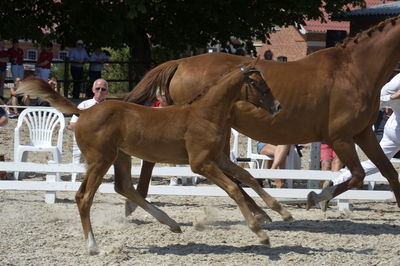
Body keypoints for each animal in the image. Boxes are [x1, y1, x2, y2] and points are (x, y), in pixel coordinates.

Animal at [126, 15, 400, 211]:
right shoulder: (340, 137)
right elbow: (357, 175)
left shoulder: (363, 133)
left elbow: (389, 173)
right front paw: (316, 198)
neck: (353, 70)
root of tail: (180, 63)